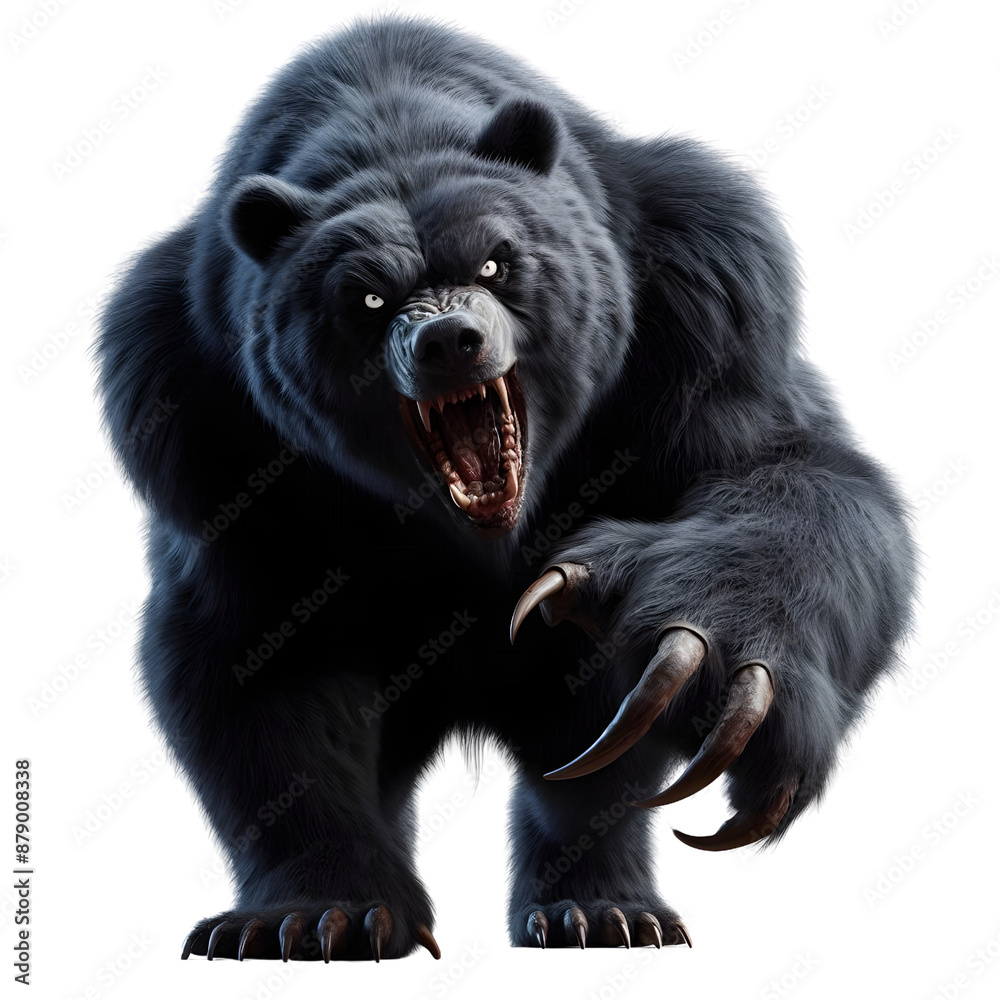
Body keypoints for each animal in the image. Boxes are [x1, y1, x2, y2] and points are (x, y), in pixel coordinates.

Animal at [96, 16, 916, 961]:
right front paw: (312, 915)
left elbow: (797, 481)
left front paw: (710, 662)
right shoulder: (205, 438)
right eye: (365, 298)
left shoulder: (706, 308)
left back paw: (604, 911)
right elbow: (256, 672)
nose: (449, 339)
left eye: (496, 262)